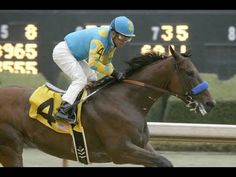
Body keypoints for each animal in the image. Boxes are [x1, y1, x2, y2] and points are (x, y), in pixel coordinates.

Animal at [0, 45, 215, 166]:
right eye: (189, 72)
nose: (210, 102)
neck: (126, 102)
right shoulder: (121, 150)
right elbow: (164, 161)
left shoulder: (143, 146)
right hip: (10, 147)